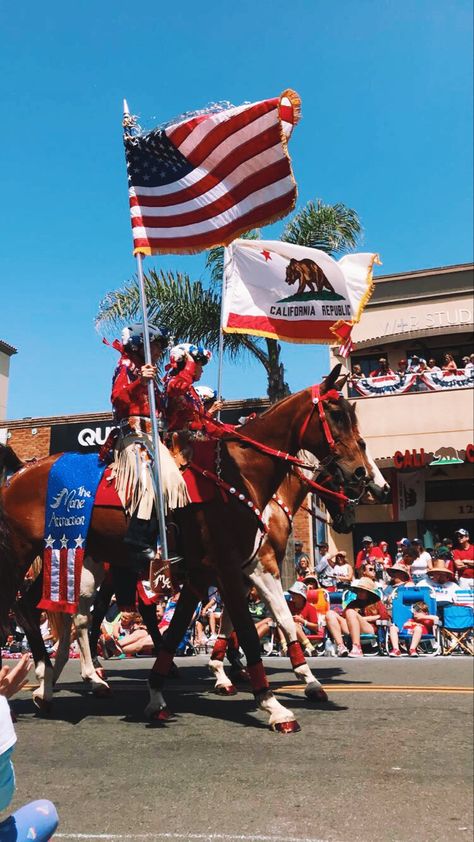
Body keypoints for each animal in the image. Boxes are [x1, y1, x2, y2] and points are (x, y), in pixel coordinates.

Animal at [0, 368, 374, 728]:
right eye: (335, 414)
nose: (364, 476)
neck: (239, 479)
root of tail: (19, 474)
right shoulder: (234, 567)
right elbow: (250, 628)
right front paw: (273, 704)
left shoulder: (212, 573)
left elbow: (191, 629)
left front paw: (159, 695)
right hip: (29, 554)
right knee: (32, 609)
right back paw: (53, 678)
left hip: (68, 557)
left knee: (56, 612)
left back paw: (56, 683)